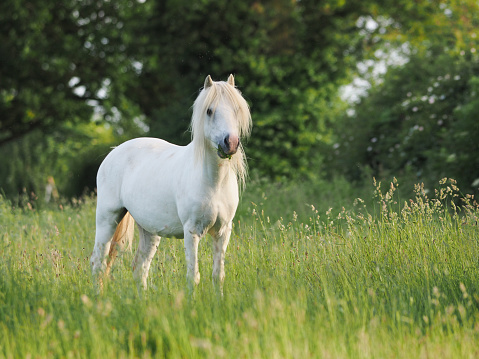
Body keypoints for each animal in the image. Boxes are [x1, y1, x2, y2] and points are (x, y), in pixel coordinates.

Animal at [91, 75, 253, 292]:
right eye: (209, 110)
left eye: (236, 109)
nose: (231, 143)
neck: (214, 182)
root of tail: (114, 150)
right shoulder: (192, 231)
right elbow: (193, 276)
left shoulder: (223, 232)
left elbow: (218, 276)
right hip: (107, 219)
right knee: (98, 264)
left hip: (149, 230)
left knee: (139, 268)